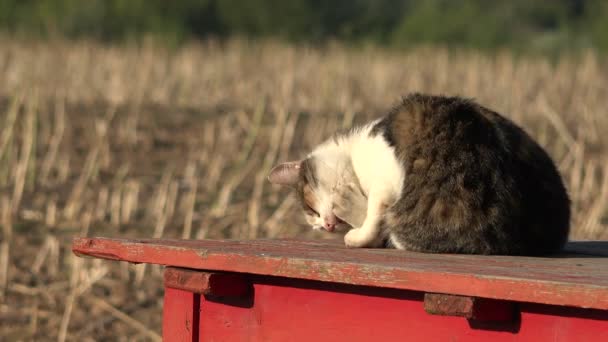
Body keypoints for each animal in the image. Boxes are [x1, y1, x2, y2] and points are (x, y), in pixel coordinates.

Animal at [268, 93, 568, 254]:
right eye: (316, 223)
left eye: (310, 209)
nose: (327, 226)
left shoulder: (384, 179)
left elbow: (372, 217)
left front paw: (355, 231)